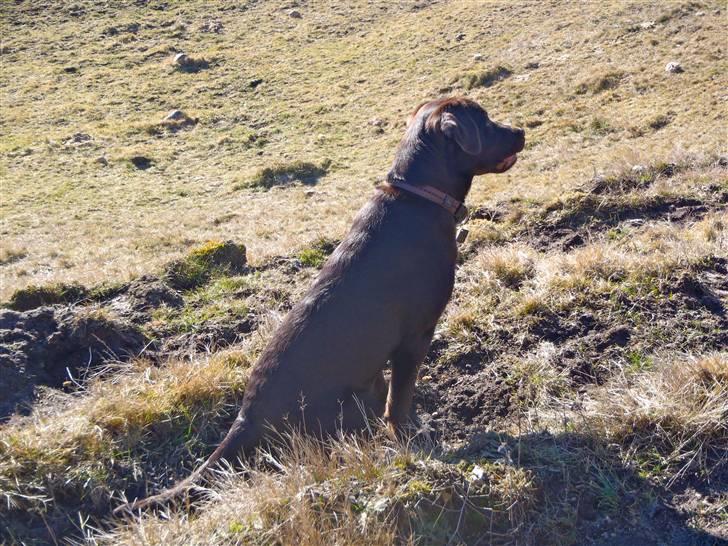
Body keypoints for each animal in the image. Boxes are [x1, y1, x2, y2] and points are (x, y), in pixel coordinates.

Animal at [112, 95, 524, 512]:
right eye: (484, 121)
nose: (520, 131)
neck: (420, 194)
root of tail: (245, 420)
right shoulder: (414, 337)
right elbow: (400, 401)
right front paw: (413, 438)